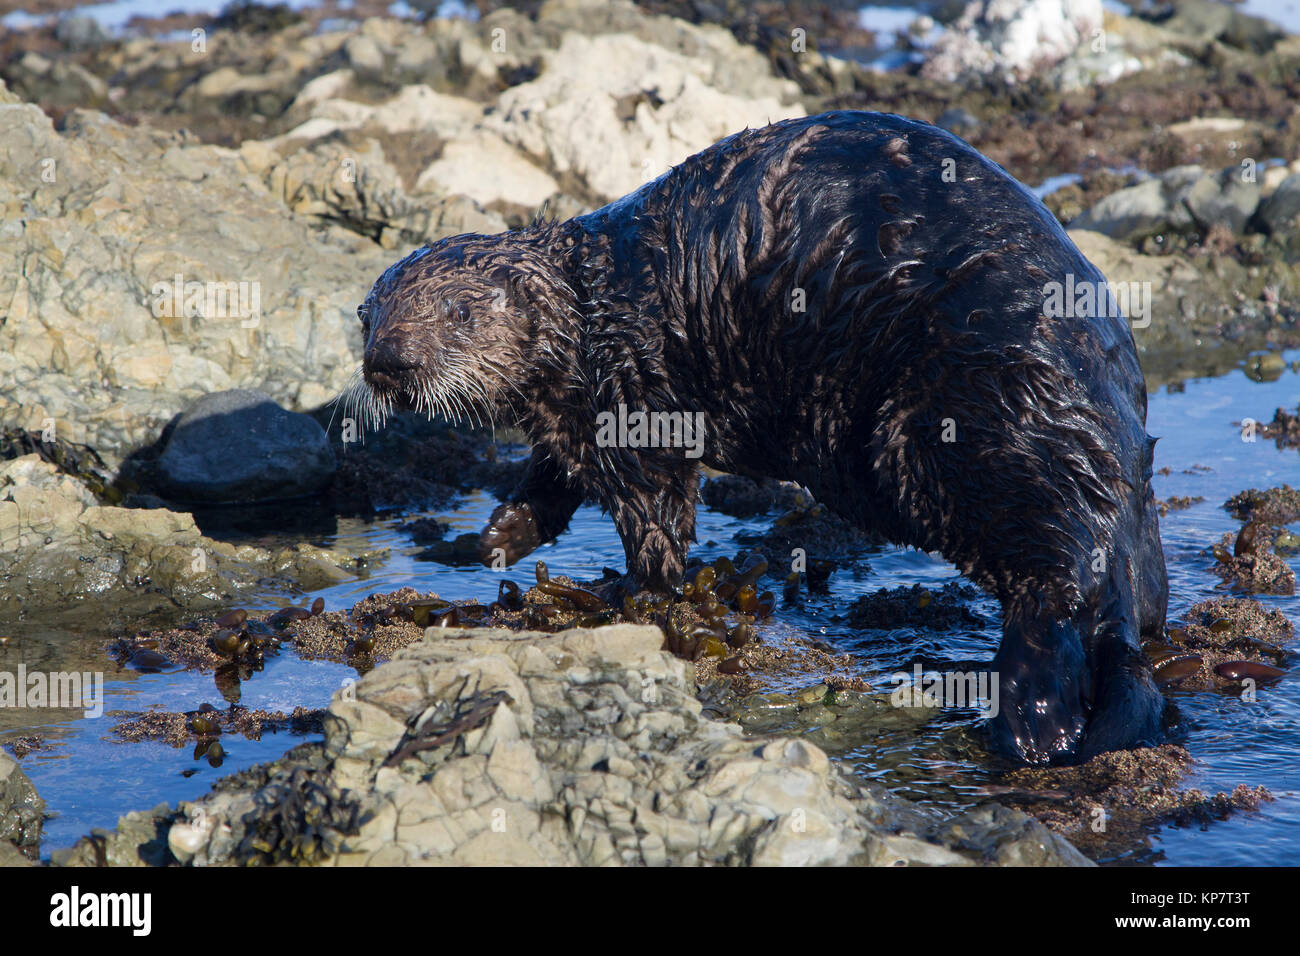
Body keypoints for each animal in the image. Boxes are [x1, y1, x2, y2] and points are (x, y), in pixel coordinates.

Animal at [354, 111, 1168, 766]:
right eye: (368, 315)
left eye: (458, 313)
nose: (388, 359)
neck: (591, 313)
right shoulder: (570, 419)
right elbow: (550, 478)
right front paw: (500, 535)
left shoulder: (633, 401)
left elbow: (656, 517)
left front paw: (623, 594)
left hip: (958, 427)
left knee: (1055, 579)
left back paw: (1031, 719)